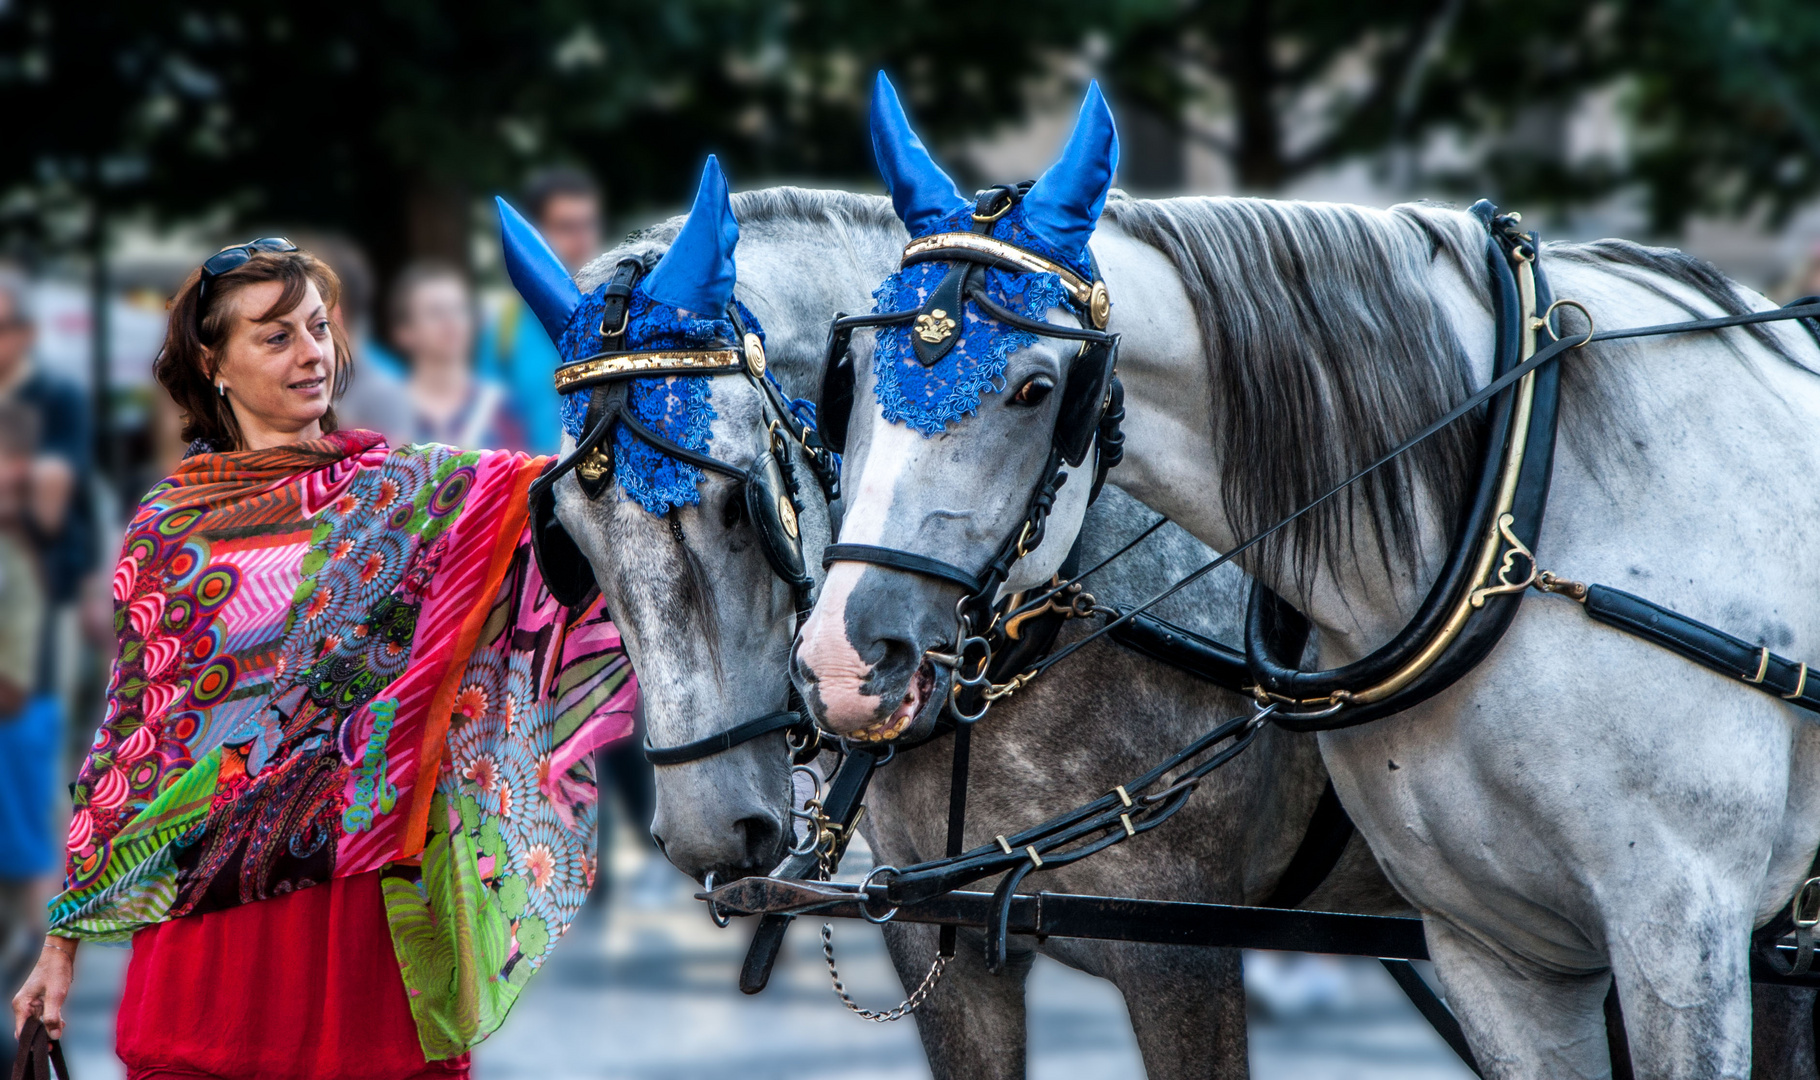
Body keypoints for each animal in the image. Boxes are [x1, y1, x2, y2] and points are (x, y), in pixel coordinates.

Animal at [800, 71, 1820, 1070]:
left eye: (1035, 388)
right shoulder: (1497, 951)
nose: (845, 665)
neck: (1522, 510)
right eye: (853, 373)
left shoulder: (1678, 931)